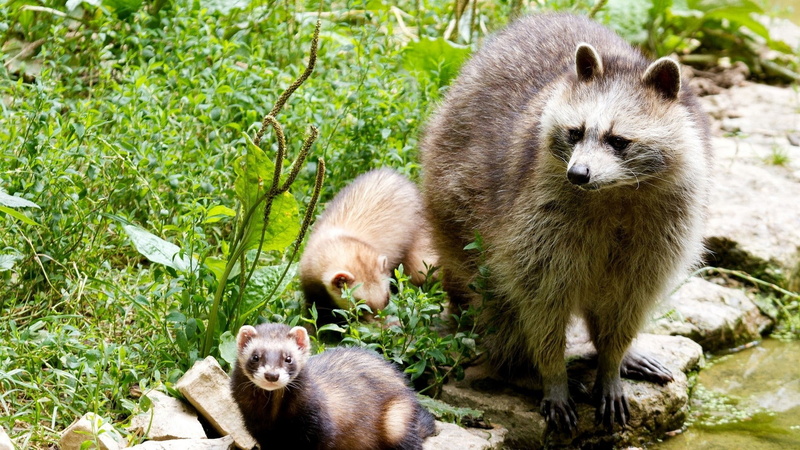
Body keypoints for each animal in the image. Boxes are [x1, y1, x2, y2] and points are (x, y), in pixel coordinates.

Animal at [230, 323, 437, 450]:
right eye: (255, 357)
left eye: (288, 358)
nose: (272, 375)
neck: (275, 419)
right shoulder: (260, 432)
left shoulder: (318, 428)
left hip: (396, 421)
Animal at [420, 13, 711, 433]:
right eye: (576, 132)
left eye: (618, 140)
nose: (578, 173)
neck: (614, 193)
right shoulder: (534, 212)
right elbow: (539, 297)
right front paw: (552, 372)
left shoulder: (667, 224)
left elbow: (629, 300)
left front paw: (612, 361)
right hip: (453, 198)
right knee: (496, 303)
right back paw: (518, 367)